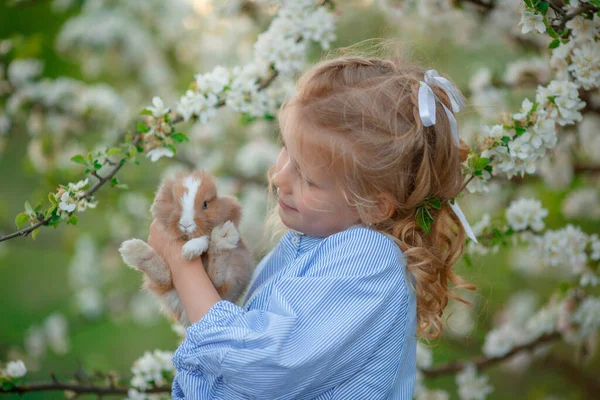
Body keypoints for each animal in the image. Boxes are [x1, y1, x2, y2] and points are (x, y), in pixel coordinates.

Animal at [119, 169, 253, 328]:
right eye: (174, 202)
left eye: (205, 204)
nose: (185, 224)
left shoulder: (232, 212)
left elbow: (206, 236)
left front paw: (190, 250)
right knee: (164, 278)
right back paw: (134, 251)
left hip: (235, 273)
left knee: (218, 281)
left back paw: (223, 237)